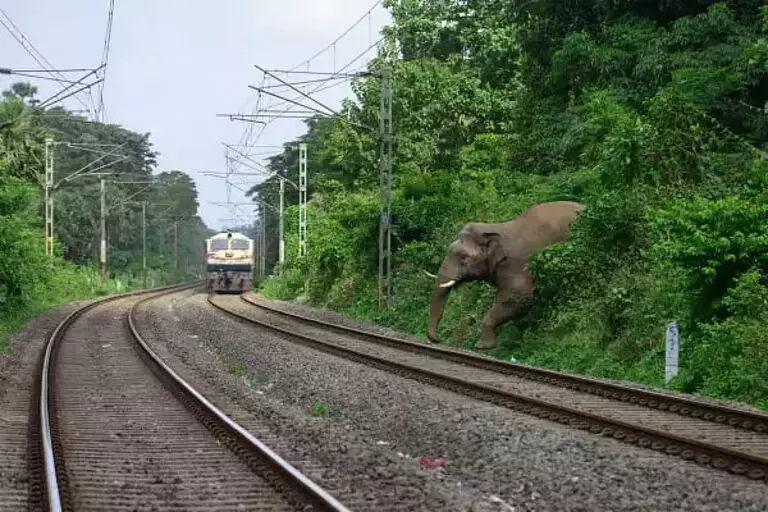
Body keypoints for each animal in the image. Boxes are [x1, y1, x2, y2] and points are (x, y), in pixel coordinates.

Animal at [426, 202, 584, 350]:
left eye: (464, 257)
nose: (436, 340)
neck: (495, 229)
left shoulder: (516, 265)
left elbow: (519, 296)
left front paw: (482, 347)